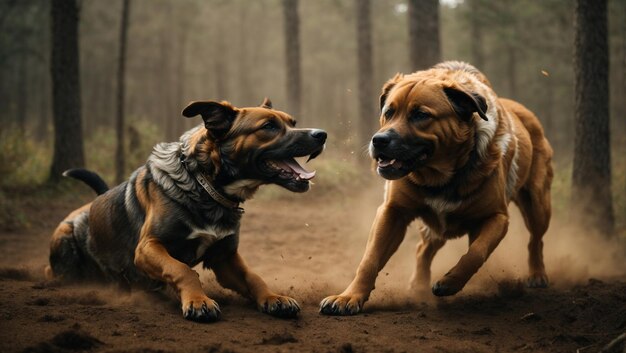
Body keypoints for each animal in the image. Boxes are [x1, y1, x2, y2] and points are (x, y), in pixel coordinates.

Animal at [46, 97, 326, 320]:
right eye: (268, 126)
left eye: (292, 122)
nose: (322, 134)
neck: (204, 186)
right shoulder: (148, 247)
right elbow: (183, 270)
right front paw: (198, 301)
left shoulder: (224, 257)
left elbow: (253, 276)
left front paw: (273, 297)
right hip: (65, 243)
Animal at [322, 60, 552, 314]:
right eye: (388, 112)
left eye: (421, 115)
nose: (379, 140)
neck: (439, 178)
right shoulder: (392, 212)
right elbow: (370, 259)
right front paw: (349, 296)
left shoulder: (497, 217)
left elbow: (476, 252)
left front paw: (450, 282)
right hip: (435, 227)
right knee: (423, 249)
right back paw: (418, 285)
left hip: (537, 203)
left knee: (536, 239)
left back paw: (537, 274)